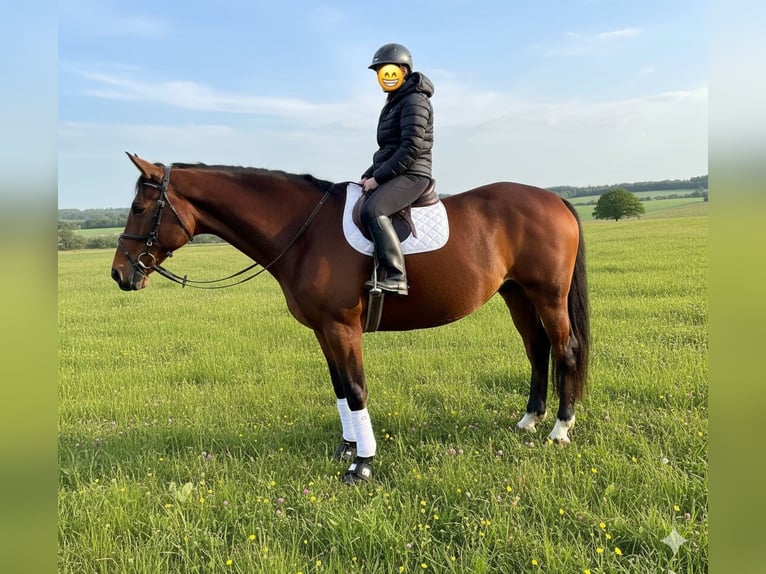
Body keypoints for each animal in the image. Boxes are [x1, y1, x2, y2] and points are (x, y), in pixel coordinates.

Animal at [111, 153, 590, 484]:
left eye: (139, 208)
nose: (119, 273)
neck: (304, 232)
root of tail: (554, 198)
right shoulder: (324, 330)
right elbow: (340, 389)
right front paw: (346, 448)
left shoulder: (343, 328)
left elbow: (357, 389)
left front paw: (362, 464)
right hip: (516, 294)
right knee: (537, 349)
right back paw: (530, 419)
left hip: (548, 296)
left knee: (564, 350)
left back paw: (560, 429)